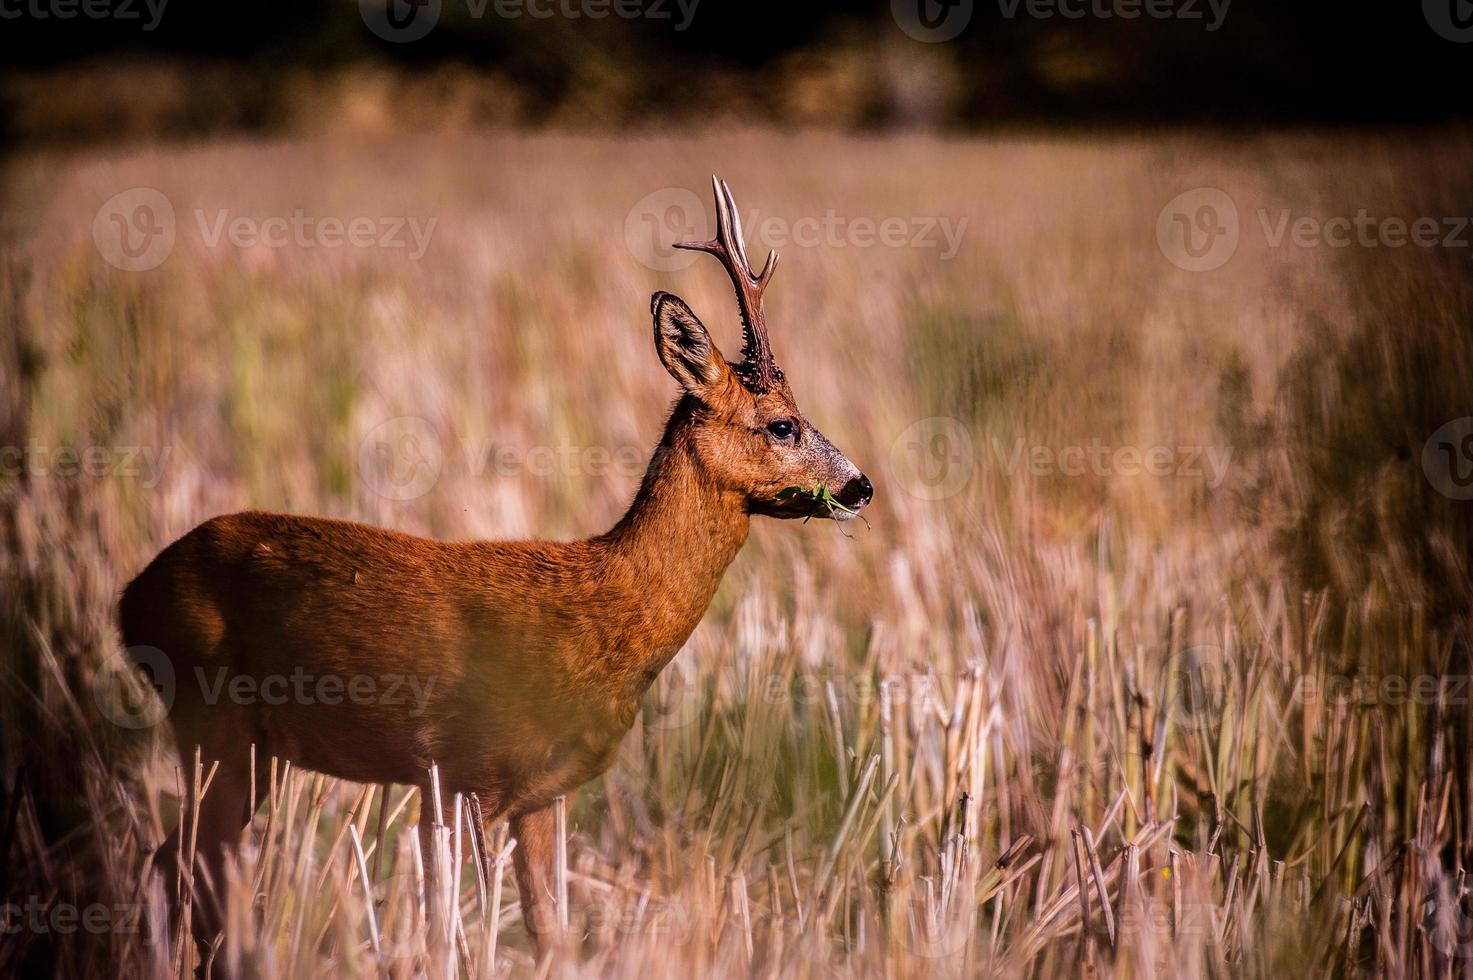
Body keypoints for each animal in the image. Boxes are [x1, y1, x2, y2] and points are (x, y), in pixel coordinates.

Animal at [120, 173, 872, 954]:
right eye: (782, 424)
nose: (860, 486)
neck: (609, 609)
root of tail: (131, 598)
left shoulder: (539, 794)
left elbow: (548, 934)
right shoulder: (468, 769)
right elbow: (462, 924)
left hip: (252, 745)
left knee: (180, 863)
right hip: (210, 715)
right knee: (183, 866)